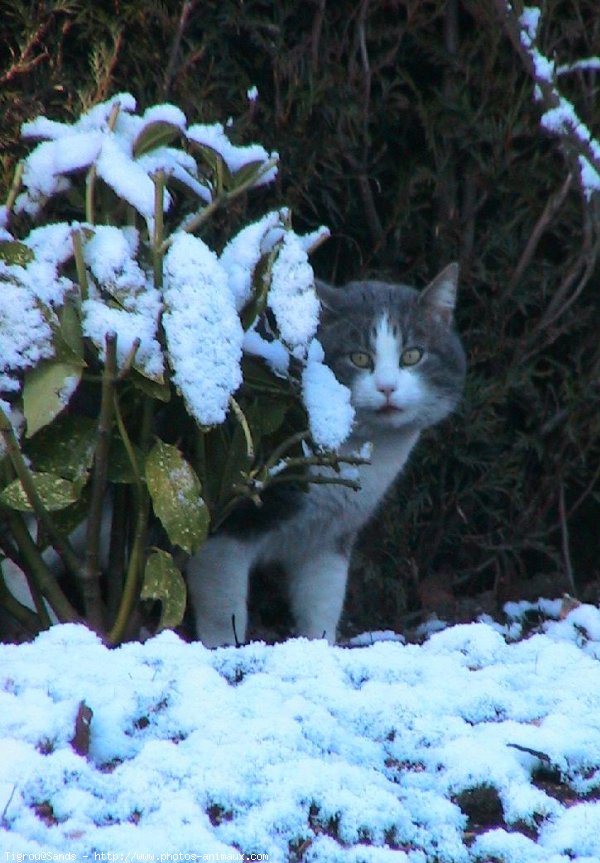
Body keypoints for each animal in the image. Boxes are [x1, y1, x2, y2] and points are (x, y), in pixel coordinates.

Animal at [185, 264, 466, 648]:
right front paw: (225, 650)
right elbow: (223, 608)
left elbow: (322, 603)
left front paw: (319, 650)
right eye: (359, 358)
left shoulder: (328, 539)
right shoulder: (224, 517)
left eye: (412, 355)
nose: (387, 387)